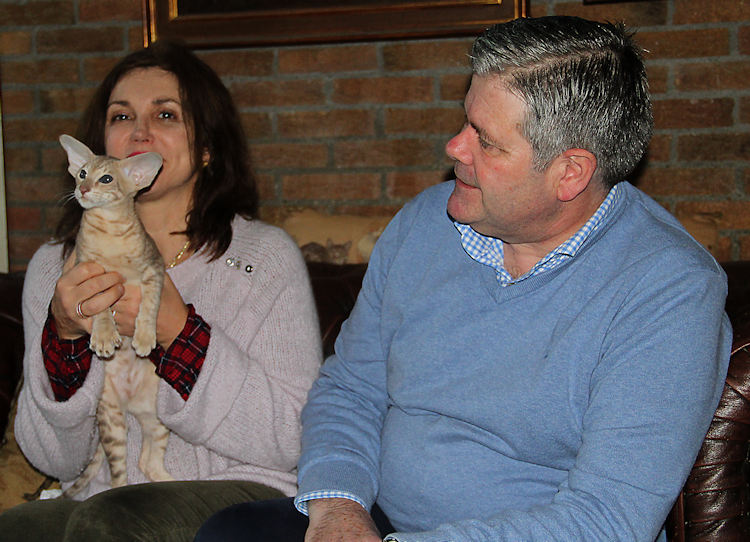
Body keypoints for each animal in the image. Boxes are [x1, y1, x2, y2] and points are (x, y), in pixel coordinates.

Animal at [58, 134, 174, 497]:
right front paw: (106, 335)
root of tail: (130, 405)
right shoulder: (90, 274)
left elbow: (149, 306)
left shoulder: (154, 271)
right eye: (82, 173)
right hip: (111, 420)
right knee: (119, 476)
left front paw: (145, 336)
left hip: (158, 418)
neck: (110, 232)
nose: (82, 190)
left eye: (106, 179)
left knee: (147, 462)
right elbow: (99, 310)